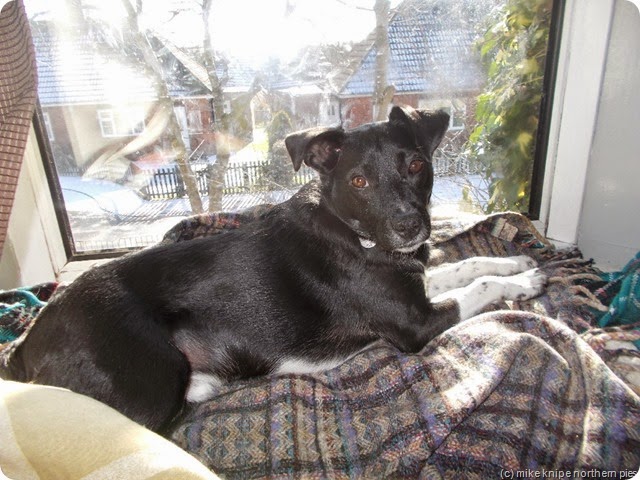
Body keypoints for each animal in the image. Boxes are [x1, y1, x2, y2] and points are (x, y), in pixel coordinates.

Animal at [0, 105, 546, 433]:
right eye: (359, 180)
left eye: (416, 165)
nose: (410, 227)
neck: (356, 234)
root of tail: (24, 346)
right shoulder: (416, 324)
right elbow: (478, 284)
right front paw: (523, 280)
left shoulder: (417, 282)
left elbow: (467, 263)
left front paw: (517, 260)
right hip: (147, 377)